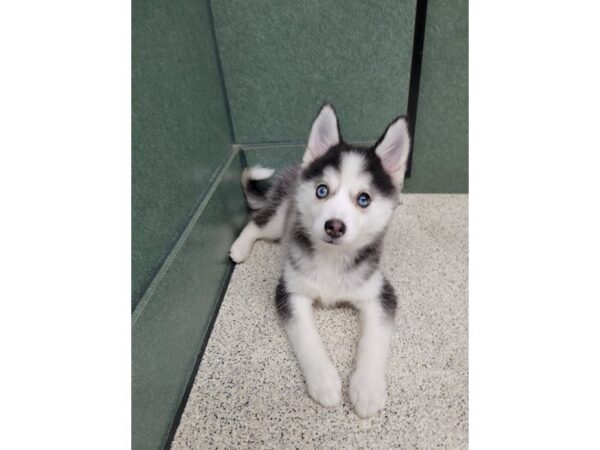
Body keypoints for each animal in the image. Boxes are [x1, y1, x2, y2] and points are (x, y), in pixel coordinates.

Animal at [227, 103, 410, 416]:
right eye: (322, 190)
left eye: (364, 199)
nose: (334, 226)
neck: (332, 260)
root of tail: (294, 168)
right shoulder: (289, 291)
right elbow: (306, 336)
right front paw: (324, 381)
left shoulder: (379, 293)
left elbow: (375, 339)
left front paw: (367, 388)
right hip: (280, 217)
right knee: (257, 222)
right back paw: (240, 247)